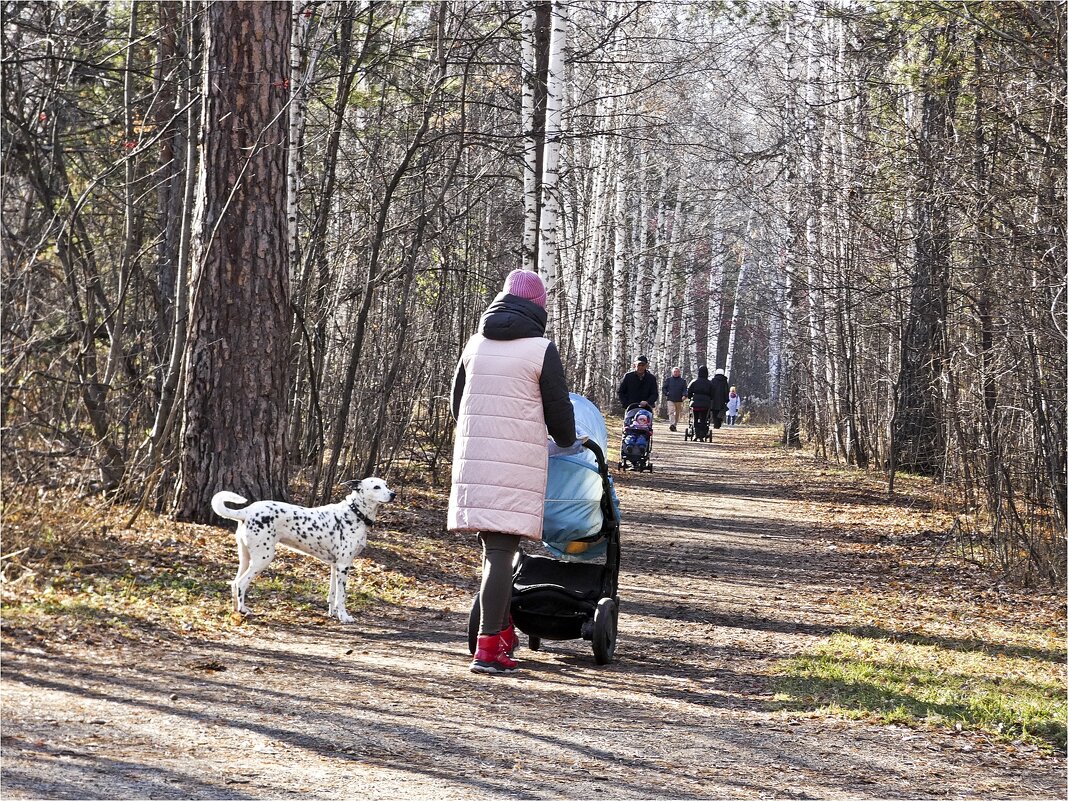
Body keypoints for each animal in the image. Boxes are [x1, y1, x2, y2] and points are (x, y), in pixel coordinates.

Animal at [210, 480, 395, 623]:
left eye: (386, 485)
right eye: (376, 487)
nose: (393, 494)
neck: (354, 513)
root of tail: (247, 510)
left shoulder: (335, 566)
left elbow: (332, 594)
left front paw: (333, 614)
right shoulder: (344, 566)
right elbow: (341, 596)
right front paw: (344, 616)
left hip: (245, 558)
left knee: (235, 583)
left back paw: (236, 611)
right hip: (263, 558)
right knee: (241, 583)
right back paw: (243, 610)